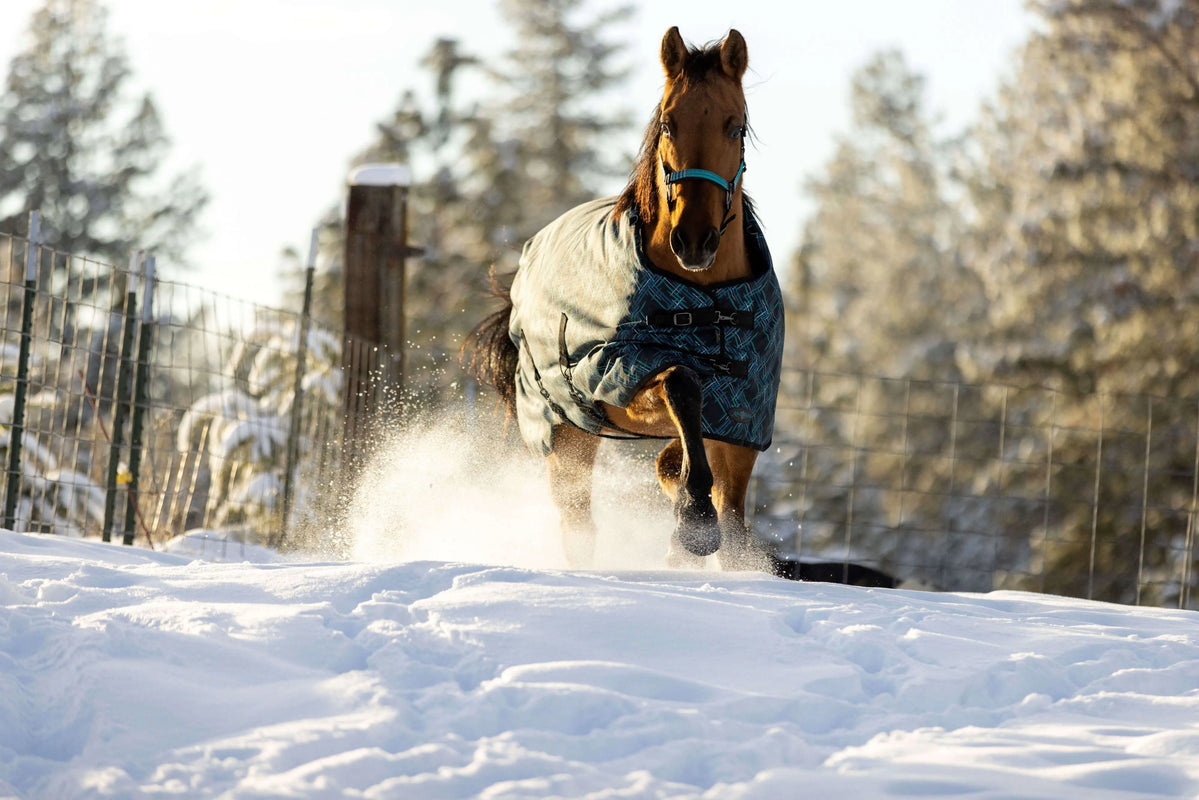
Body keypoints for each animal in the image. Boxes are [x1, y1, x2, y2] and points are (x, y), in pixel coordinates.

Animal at [468, 27, 785, 572]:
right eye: (668, 123)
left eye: (735, 126)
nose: (694, 241)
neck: (708, 300)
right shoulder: (622, 372)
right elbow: (681, 382)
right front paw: (693, 519)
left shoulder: (742, 419)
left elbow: (731, 524)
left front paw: (690, 523)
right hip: (567, 436)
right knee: (578, 528)